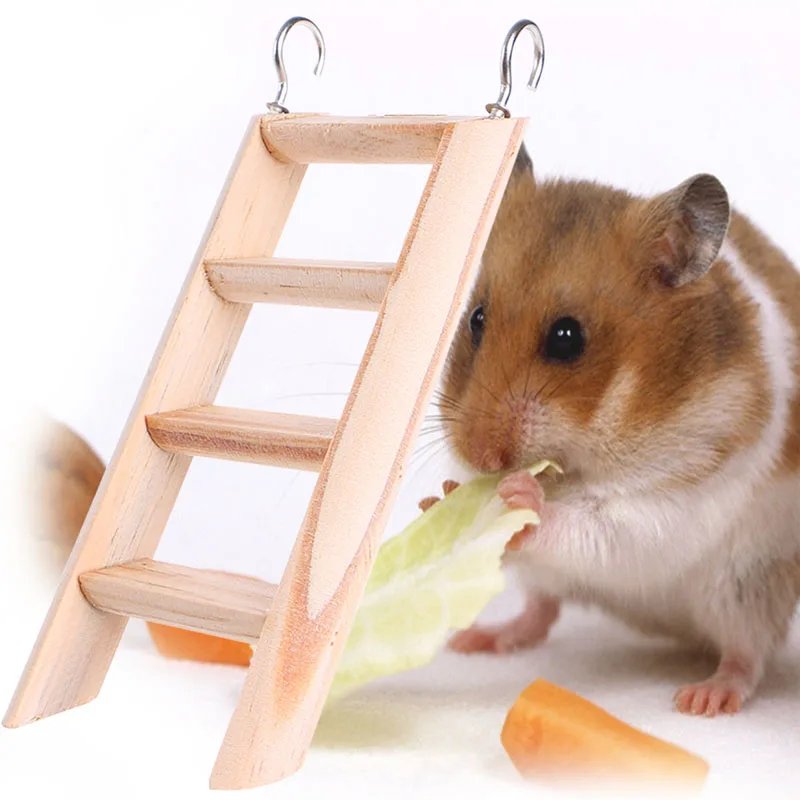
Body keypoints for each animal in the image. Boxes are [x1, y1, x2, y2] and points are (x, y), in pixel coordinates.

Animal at [438, 144, 800, 716]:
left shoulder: (672, 501)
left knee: (747, 653)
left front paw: (518, 496)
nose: (481, 460)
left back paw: (703, 698)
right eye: (476, 319)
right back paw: (476, 640)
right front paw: (444, 496)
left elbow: (599, 526)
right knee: (542, 610)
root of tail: (679, 633)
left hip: (747, 583)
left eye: (567, 338)